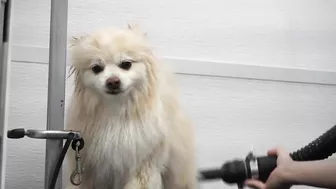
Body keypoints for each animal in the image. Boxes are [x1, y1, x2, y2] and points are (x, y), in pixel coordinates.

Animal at [64, 25, 197, 189]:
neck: (117, 111)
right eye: (97, 68)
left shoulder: (143, 166)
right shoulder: (89, 169)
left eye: (126, 64)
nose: (113, 81)